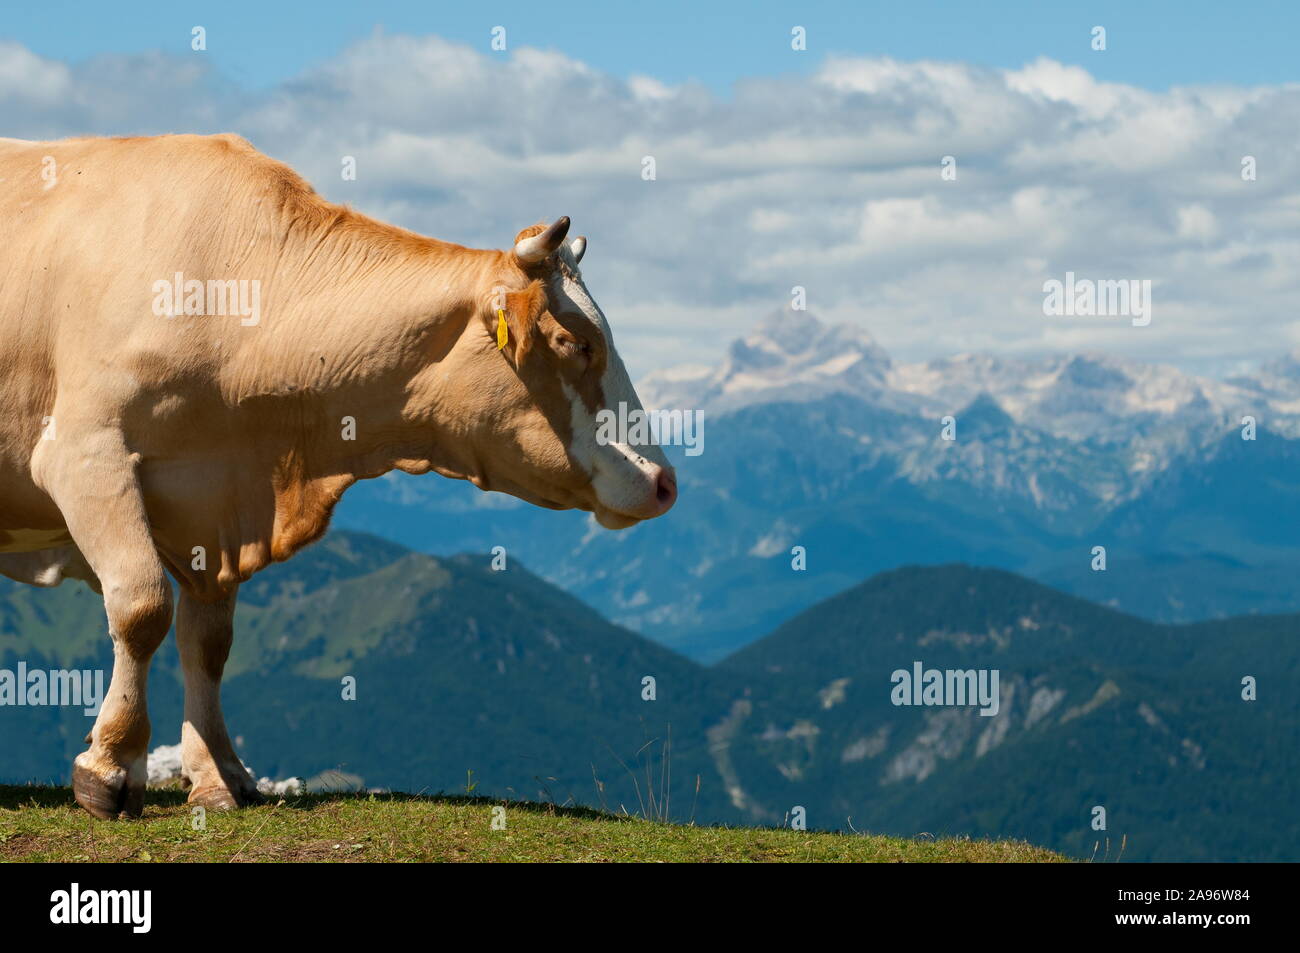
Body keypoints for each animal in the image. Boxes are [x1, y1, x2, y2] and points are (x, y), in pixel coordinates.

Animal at [0, 133, 677, 819]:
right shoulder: (86, 455)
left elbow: (209, 641)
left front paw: (219, 775)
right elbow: (142, 607)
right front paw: (109, 766)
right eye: (575, 342)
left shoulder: (213, 506)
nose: (663, 481)